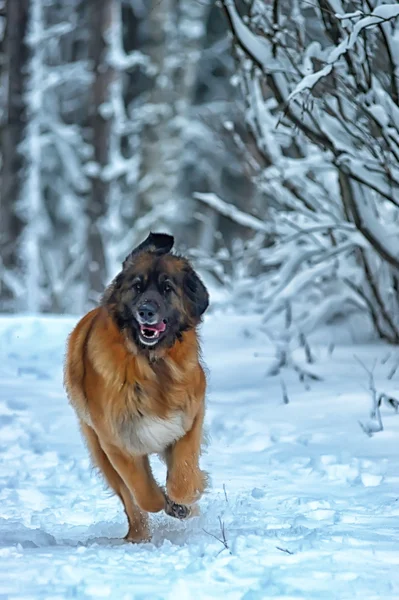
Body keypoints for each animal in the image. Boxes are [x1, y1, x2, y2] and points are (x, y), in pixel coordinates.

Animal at [64, 232, 209, 540]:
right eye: (137, 287)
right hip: (100, 452)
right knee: (131, 502)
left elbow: (184, 476)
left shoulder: (190, 419)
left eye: (167, 288)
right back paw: (138, 537)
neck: (152, 364)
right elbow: (143, 494)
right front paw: (164, 502)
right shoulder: (116, 441)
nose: (146, 311)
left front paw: (182, 502)